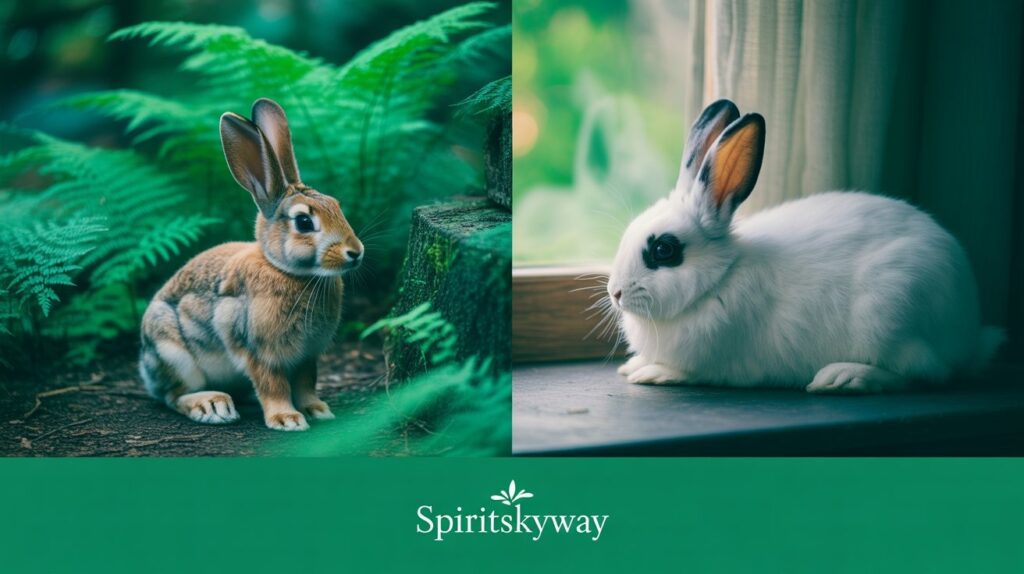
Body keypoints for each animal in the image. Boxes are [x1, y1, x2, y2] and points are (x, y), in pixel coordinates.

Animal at [139, 98, 364, 430]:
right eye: (304, 222)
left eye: (336, 205)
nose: (356, 252)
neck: (287, 271)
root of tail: (144, 365)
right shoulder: (258, 350)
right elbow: (273, 385)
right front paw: (287, 419)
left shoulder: (307, 356)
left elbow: (306, 383)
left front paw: (317, 410)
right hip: (173, 354)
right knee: (172, 396)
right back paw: (212, 405)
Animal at [607, 99, 1003, 393]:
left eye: (664, 250)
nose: (615, 292)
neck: (719, 279)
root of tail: (969, 331)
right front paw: (634, 364)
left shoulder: (722, 363)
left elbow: (693, 372)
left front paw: (652, 372)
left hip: (892, 316)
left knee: (925, 372)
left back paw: (844, 377)